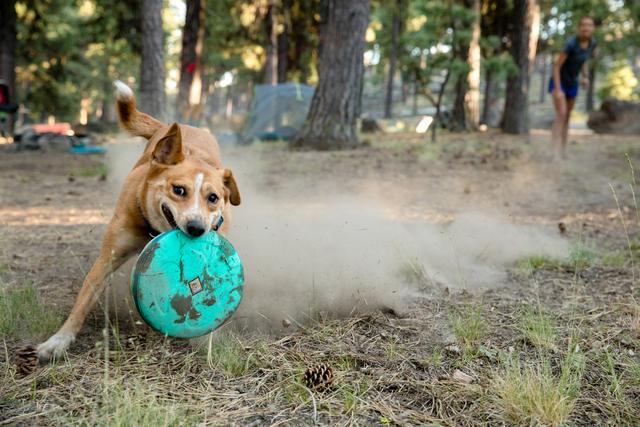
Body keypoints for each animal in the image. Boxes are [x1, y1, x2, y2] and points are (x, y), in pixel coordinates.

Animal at [38, 81, 242, 362]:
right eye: (179, 190)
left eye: (213, 198)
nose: (197, 229)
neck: (154, 230)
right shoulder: (109, 256)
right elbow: (84, 298)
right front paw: (58, 341)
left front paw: (208, 342)